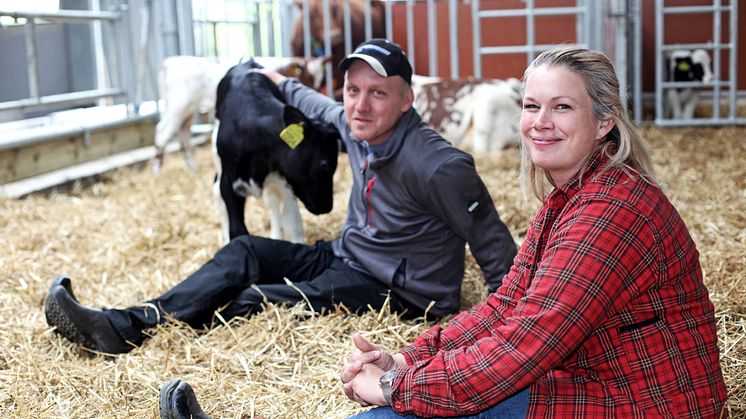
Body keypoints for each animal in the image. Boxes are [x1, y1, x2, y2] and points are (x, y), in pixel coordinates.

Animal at [214, 59, 338, 244]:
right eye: (325, 165)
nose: (327, 207)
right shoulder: (228, 182)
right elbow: (237, 229)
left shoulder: (284, 179)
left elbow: (293, 223)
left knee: (272, 203)